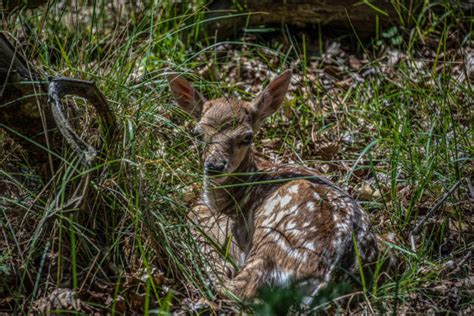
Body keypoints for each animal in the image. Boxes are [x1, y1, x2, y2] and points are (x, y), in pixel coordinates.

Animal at [168, 70, 380, 302]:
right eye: (198, 134)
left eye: (247, 137)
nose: (215, 166)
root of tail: (329, 277)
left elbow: (193, 216)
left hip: (273, 236)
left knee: (237, 287)